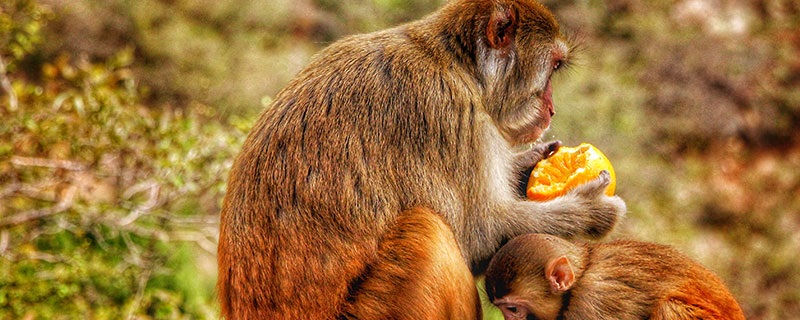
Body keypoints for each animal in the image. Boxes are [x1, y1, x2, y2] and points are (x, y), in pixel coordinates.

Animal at [217, 0, 624, 316]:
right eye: (553, 67)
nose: (552, 109)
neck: (458, 66)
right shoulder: (446, 112)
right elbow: (477, 237)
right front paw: (591, 210)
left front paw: (531, 162)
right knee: (429, 233)